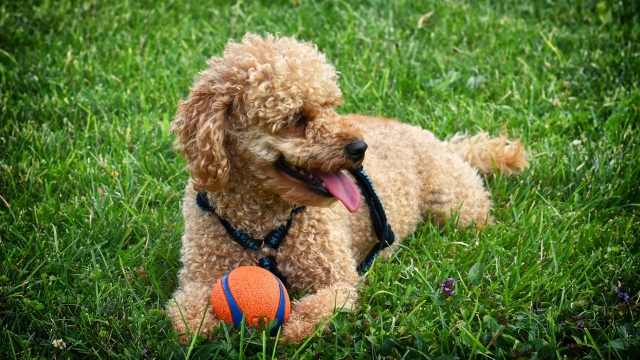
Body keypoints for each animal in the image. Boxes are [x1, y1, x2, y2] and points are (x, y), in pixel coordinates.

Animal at [168, 32, 528, 342]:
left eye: (330, 106)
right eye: (296, 118)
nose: (359, 148)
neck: (264, 227)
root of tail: (445, 145)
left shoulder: (336, 280)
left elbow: (313, 312)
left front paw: (289, 331)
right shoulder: (198, 277)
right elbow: (186, 317)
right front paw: (207, 328)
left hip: (454, 206)